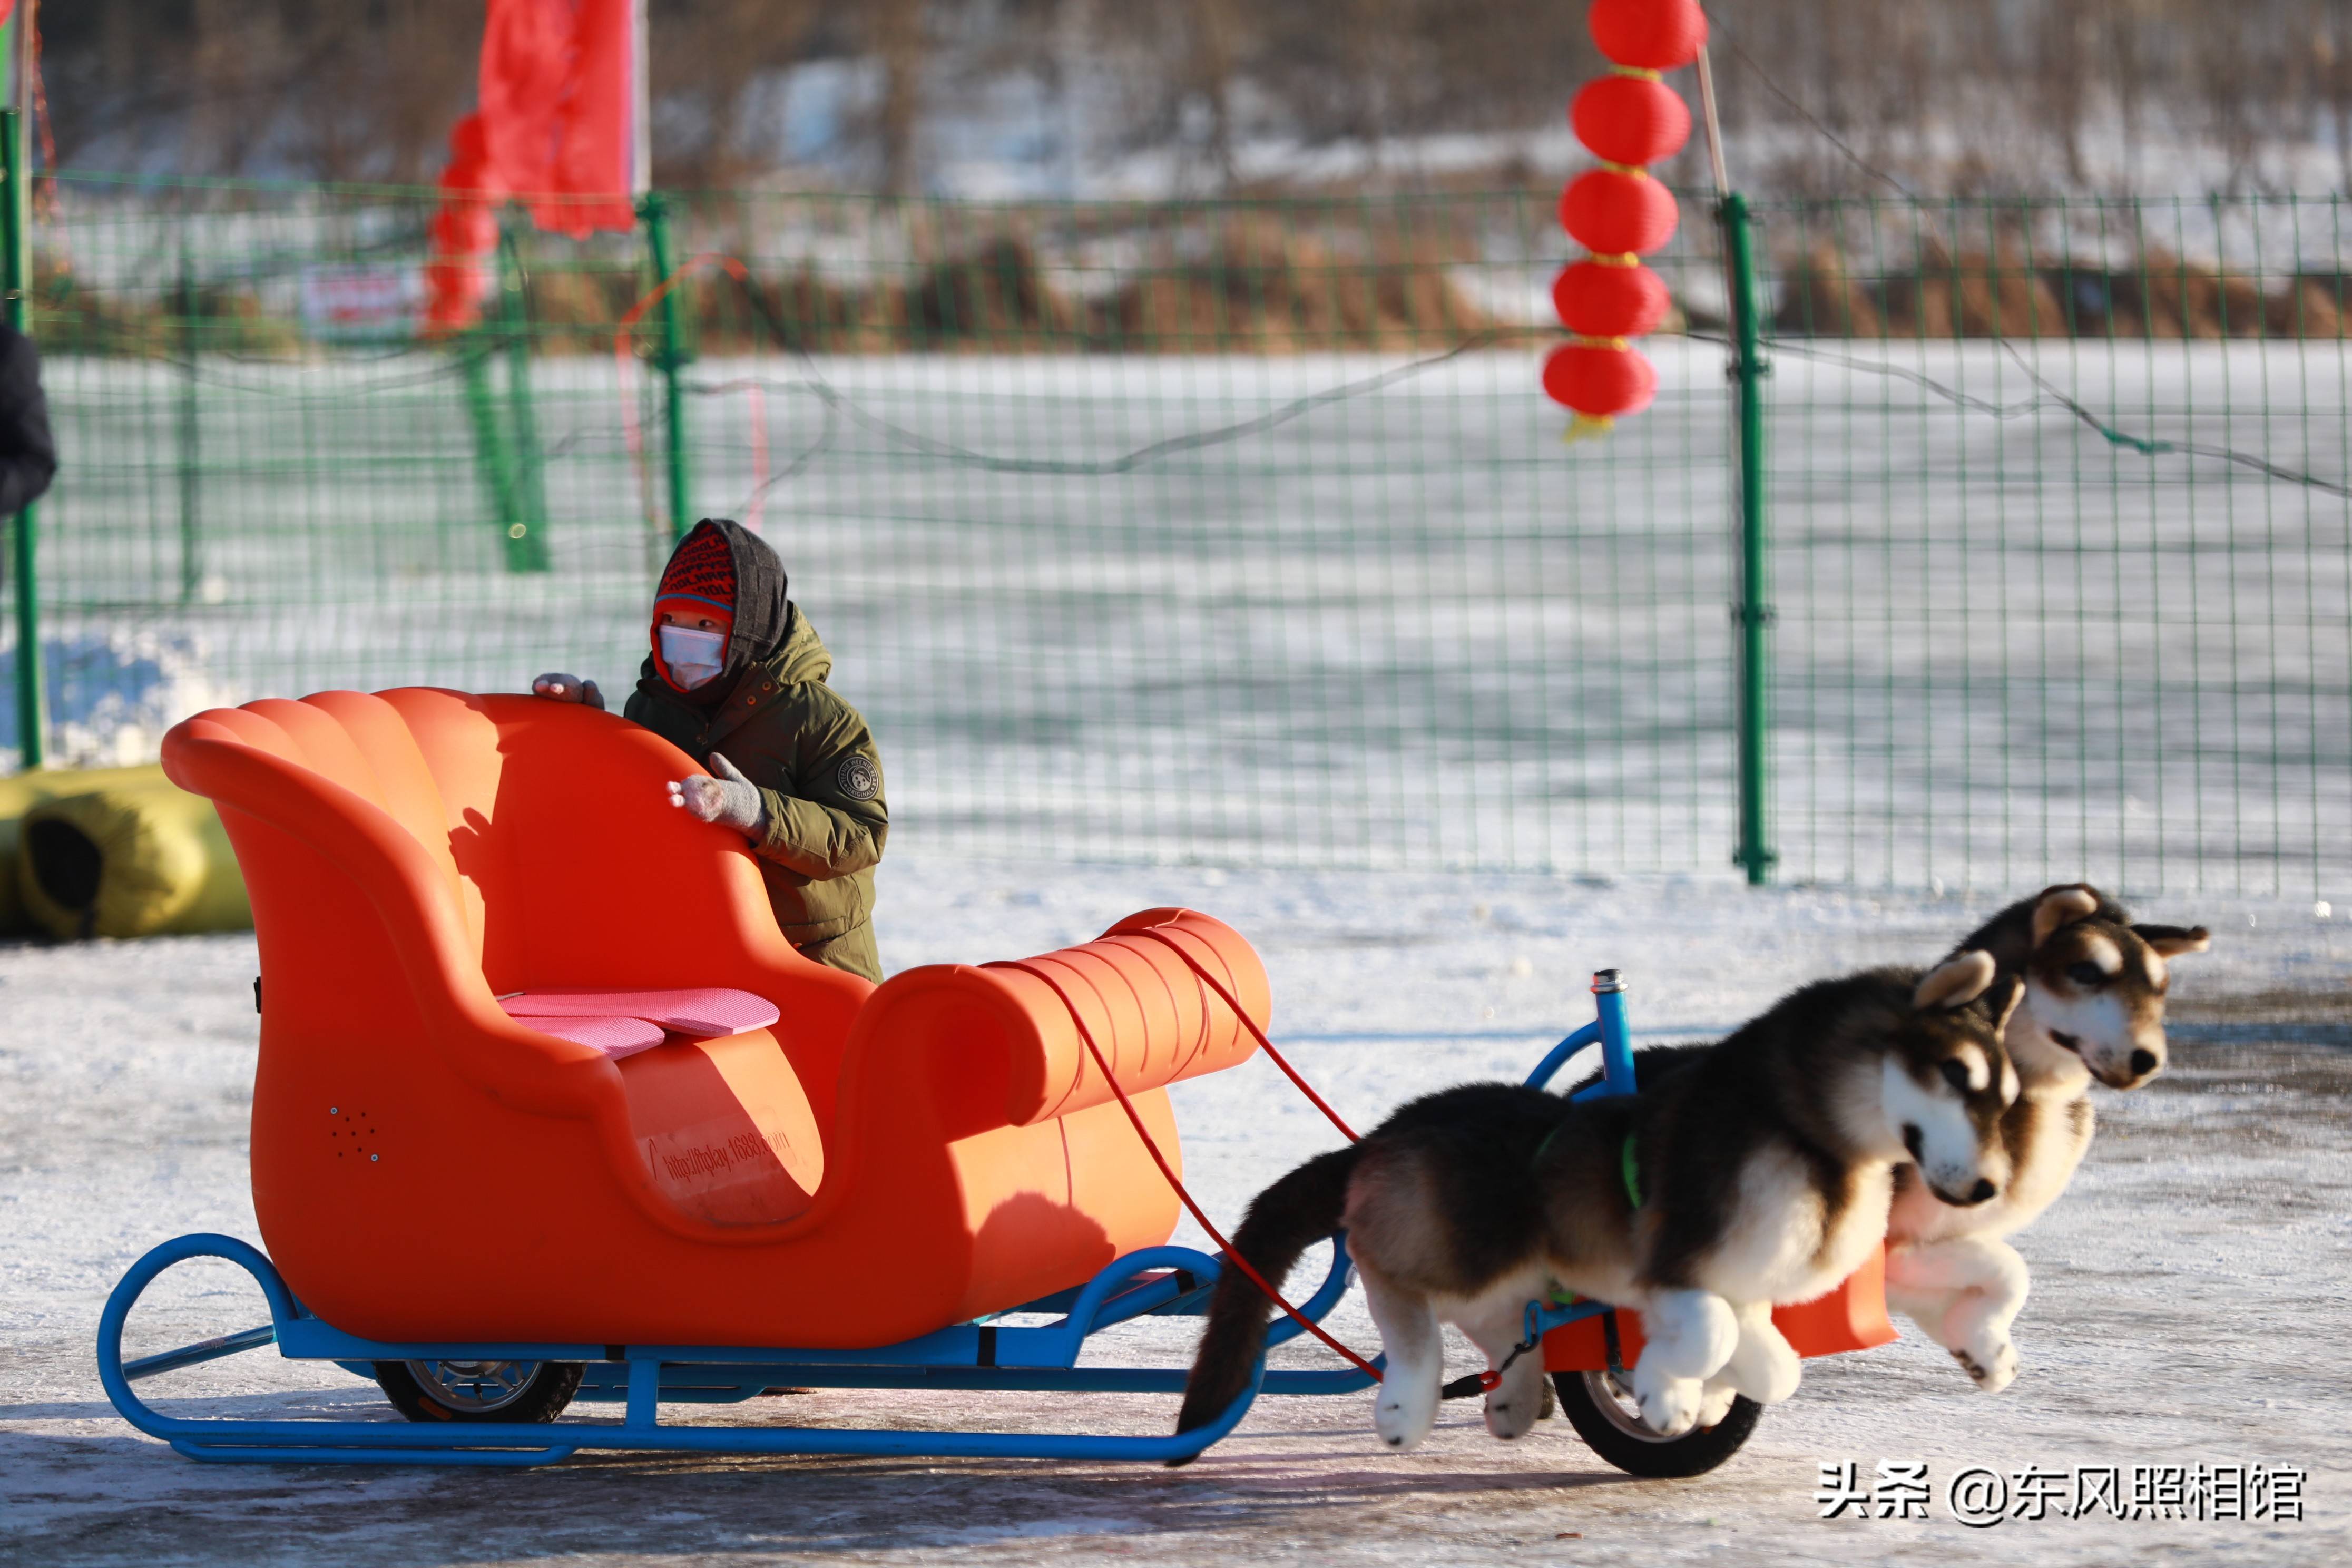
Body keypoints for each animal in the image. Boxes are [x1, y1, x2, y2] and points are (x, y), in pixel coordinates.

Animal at [1176, 959, 2023, 1457]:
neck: (1800, 1133)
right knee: (1397, 1293)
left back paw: (1514, 1399)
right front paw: (1664, 1396)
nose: (1989, 1188)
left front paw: (1707, 1390)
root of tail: (1384, 1133)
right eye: (1955, 1074)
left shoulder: (1744, 1280)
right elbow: (1711, 1333)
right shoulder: (1676, 1263)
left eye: (2008, 1094)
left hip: (1512, 1270)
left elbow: (1767, 1359)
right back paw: (1408, 1405)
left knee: (1502, 1327)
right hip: (1457, 1247)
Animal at [1891, 888, 2201, 1391]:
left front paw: (1983, 1347)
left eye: (2161, 987)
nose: (2147, 1059)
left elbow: (2008, 1273)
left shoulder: (1925, 1239)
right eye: (2086, 971)